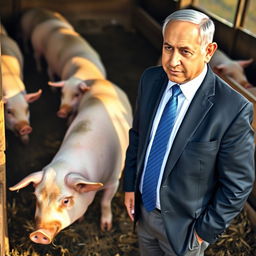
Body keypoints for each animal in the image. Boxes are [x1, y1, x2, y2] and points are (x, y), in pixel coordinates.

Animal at [9, 79, 133, 245]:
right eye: (36, 197)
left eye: (66, 201)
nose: (40, 233)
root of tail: (102, 81)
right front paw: (80, 220)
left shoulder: (114, 181)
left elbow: (105, 202)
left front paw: (106, 228)